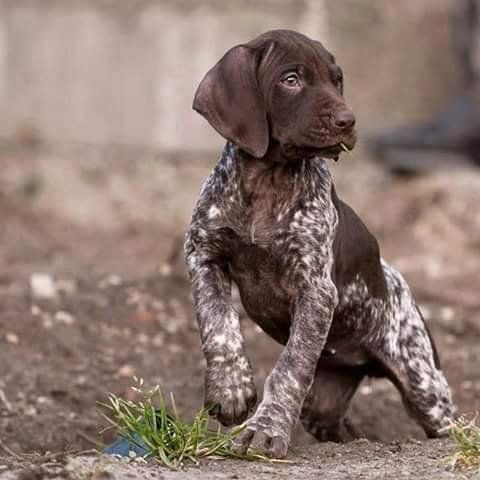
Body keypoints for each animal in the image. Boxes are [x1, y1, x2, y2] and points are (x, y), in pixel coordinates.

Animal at [183, 30, 450, 458]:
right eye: (291, 80)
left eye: (337, 81)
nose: (347, 120)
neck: (267, 181)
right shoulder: (204, 255)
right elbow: (217, 322)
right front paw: (231, 388)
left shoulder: (315, 289)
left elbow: (289, 367)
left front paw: (266, 430)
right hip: (325, 400)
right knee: (343, 428)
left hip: (422, 380)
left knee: (445, 418)